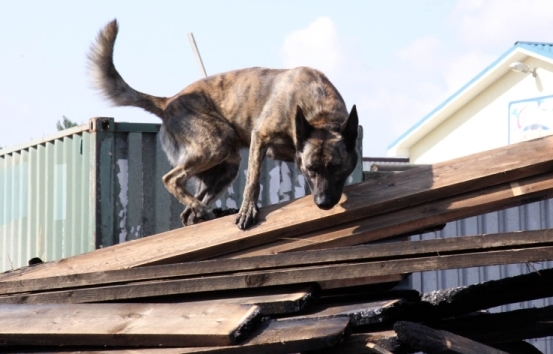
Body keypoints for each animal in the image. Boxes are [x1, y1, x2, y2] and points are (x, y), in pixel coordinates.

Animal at [87, 19, 358, 230]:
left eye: (335, 168)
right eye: (311, 169)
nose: (323, 203)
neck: (317, 110)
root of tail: (168, 101)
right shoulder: (260, 137)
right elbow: (253, 182)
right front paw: (248, 210)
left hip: (226, 168)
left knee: (186, 213)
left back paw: (205, 213)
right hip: (216, 144)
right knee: (171, 180)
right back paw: (205, 210)